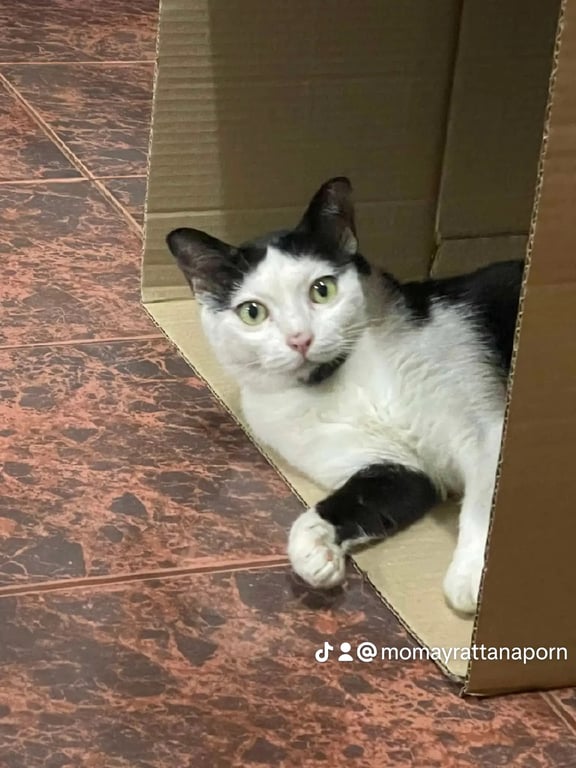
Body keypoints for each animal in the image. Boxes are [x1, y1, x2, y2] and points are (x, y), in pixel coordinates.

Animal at [166, 177, 523, 614]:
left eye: (323, 290)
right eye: (252, 312)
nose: (300, 339)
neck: (339, 382)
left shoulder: (488, 431)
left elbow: (484, 501)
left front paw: (472, 577)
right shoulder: (392, 468)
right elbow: (339, 507)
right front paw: (314, 553)